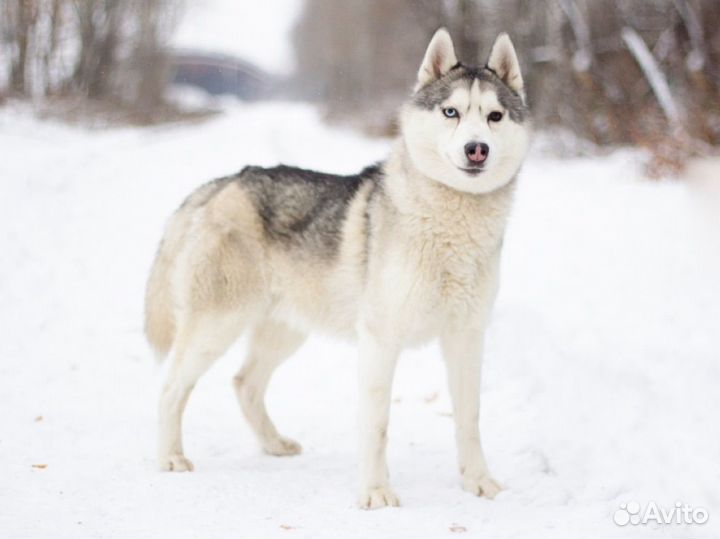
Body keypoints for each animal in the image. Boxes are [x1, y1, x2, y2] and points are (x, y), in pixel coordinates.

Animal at [145, 28, 528, 510]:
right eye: (451, 112)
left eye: (495, 116)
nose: (477, 149)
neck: (449, 225)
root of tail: (222, 184)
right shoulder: (380, 341)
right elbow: (377, 427)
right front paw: (376, 492)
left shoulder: (466, 338)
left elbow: (470, 419)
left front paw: (478, 482)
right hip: (216, 328)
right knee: (170, 387)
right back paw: (169, 457)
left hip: (286, 331)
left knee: (244, 383)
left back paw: (273, 444)